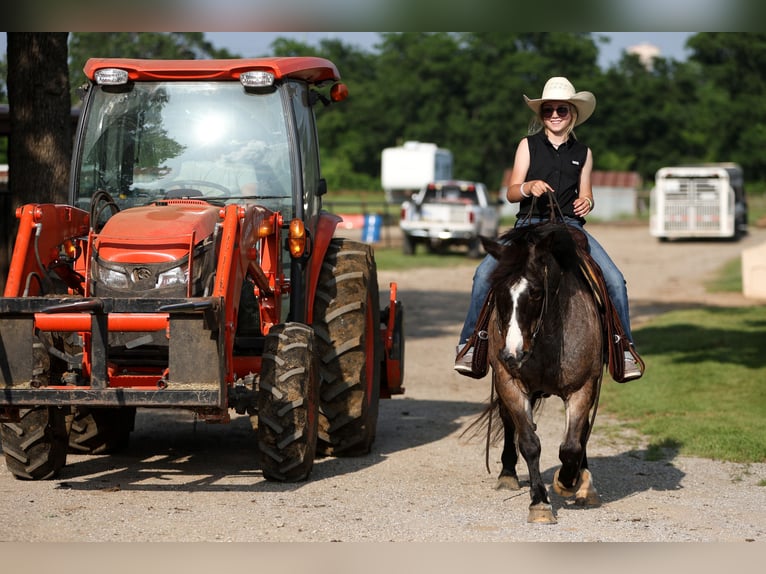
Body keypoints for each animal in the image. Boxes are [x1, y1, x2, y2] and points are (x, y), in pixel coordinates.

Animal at [480, 224, 608, 528]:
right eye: (498, 291)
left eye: (537, 293)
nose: (512, 354)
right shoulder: (510, 385)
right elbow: (529, 443)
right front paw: (539, 502)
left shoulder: (583, 387)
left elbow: (571, 445)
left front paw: (567, 482)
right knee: (509, 423)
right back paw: (507, 474)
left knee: (581, 433)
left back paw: (584, 484)